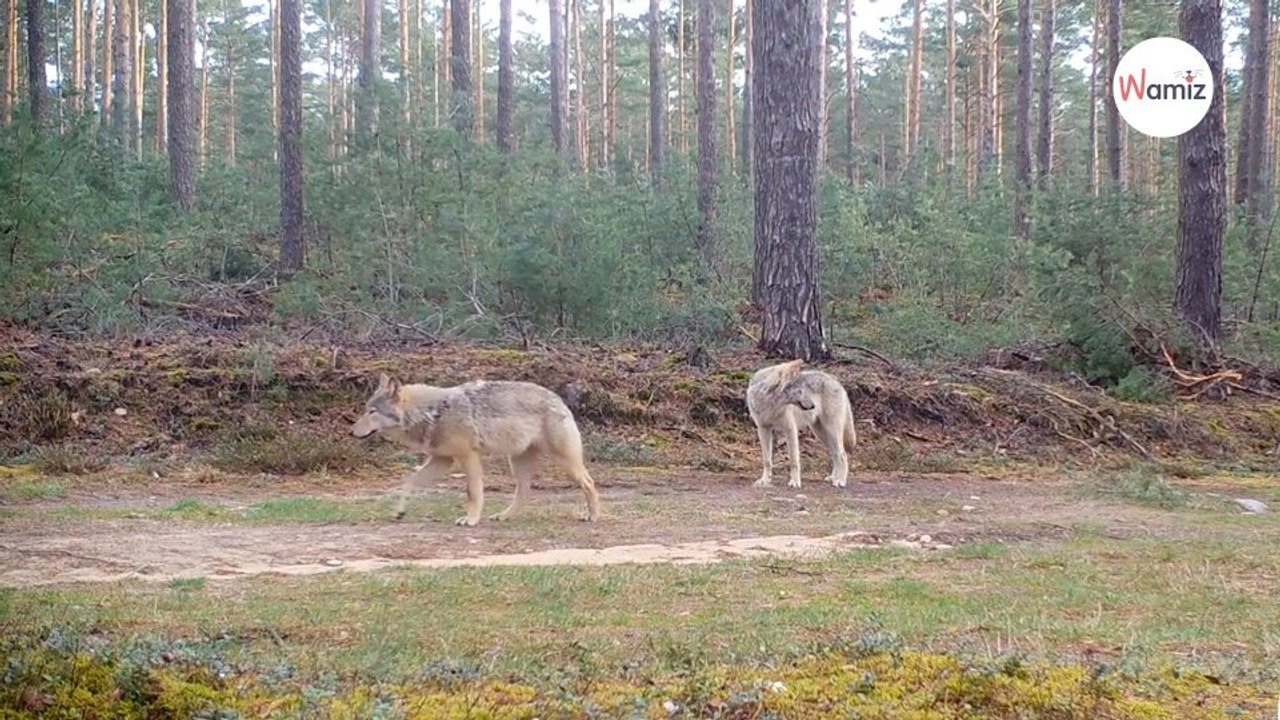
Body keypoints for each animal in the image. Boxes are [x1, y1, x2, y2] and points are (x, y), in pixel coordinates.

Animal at [351, 374, 602, 526]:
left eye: (372, 412)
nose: (351, 431)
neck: (431, 412)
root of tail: (558, 398)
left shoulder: (467, 456)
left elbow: (473, 492)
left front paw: (470, 519)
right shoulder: (442, 460)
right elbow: (409, 482)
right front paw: (399, 512)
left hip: (564, 462)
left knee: (589, 482)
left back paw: (593, 516)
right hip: (517, 463)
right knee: (525, 492)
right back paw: (504, 516)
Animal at [746, 359, 858, 489]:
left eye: (804, 389)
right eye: (800, 390)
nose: (813, 405)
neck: (770, 404)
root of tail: (836, 381)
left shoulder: (790, 429)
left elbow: (794, 460)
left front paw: (795, 482)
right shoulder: (763, 429)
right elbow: (767, 460)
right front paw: (765, 480)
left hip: (832, 431)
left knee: (842, 454)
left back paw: (840, 480)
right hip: (822, 434)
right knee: (835, 455)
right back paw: (833, 478)